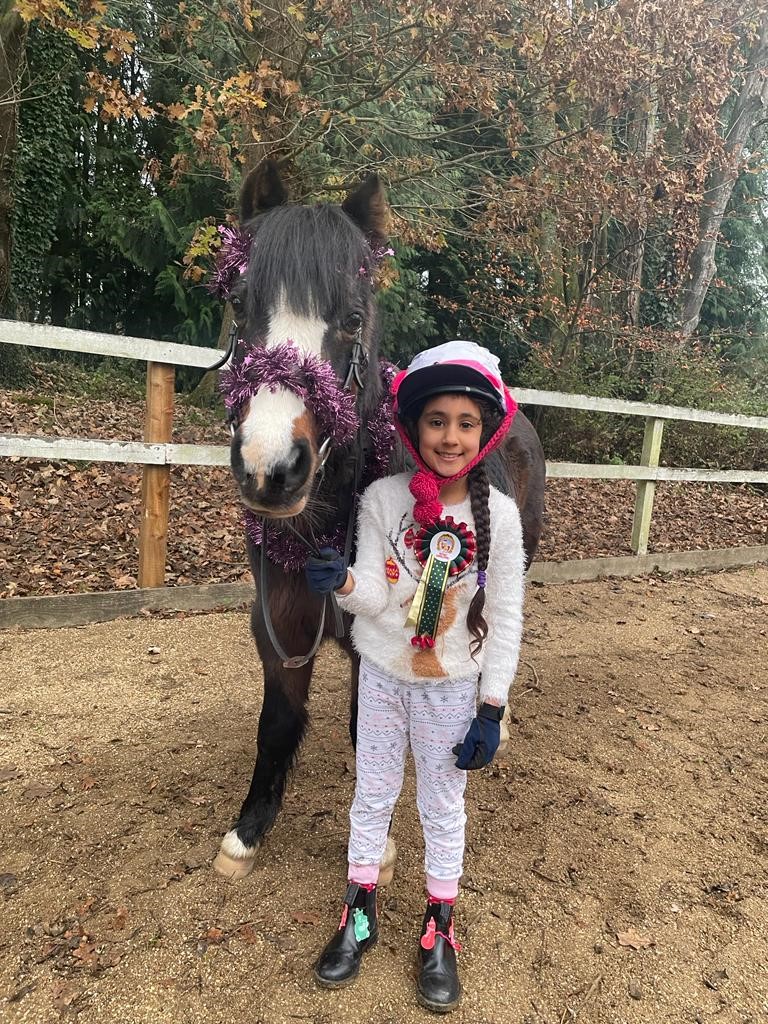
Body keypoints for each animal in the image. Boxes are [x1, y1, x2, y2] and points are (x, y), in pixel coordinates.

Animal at [212, 160, 546, 881]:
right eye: (240, 305)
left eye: (354, 317)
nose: (271, 469)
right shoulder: (281, 625)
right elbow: (277, 724)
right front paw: (248, 833)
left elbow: (370, 732)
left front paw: (379, 846)